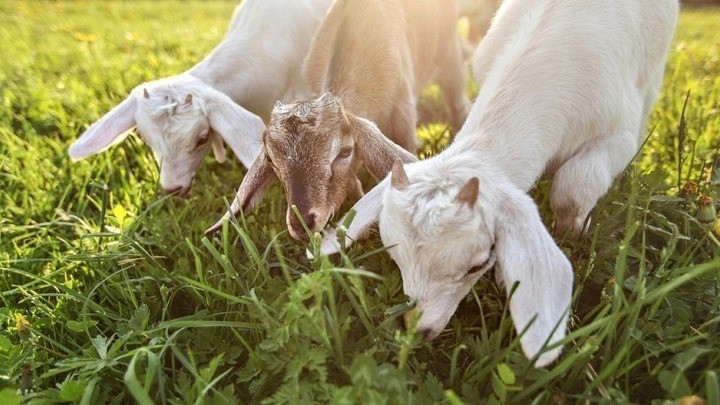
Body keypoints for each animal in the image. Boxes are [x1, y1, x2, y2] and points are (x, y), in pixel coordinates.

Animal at [205, 0, 470, 240]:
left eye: (344, 151)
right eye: (271, 159)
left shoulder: (402, 114)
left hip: (450, 56)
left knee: (456, 103)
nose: (302, 223)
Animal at [316, 0, 680, 366]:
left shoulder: (620, 133)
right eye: (394, 254)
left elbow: (573, 189)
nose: (419, 330)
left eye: (477, 264)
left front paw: (574, 233)